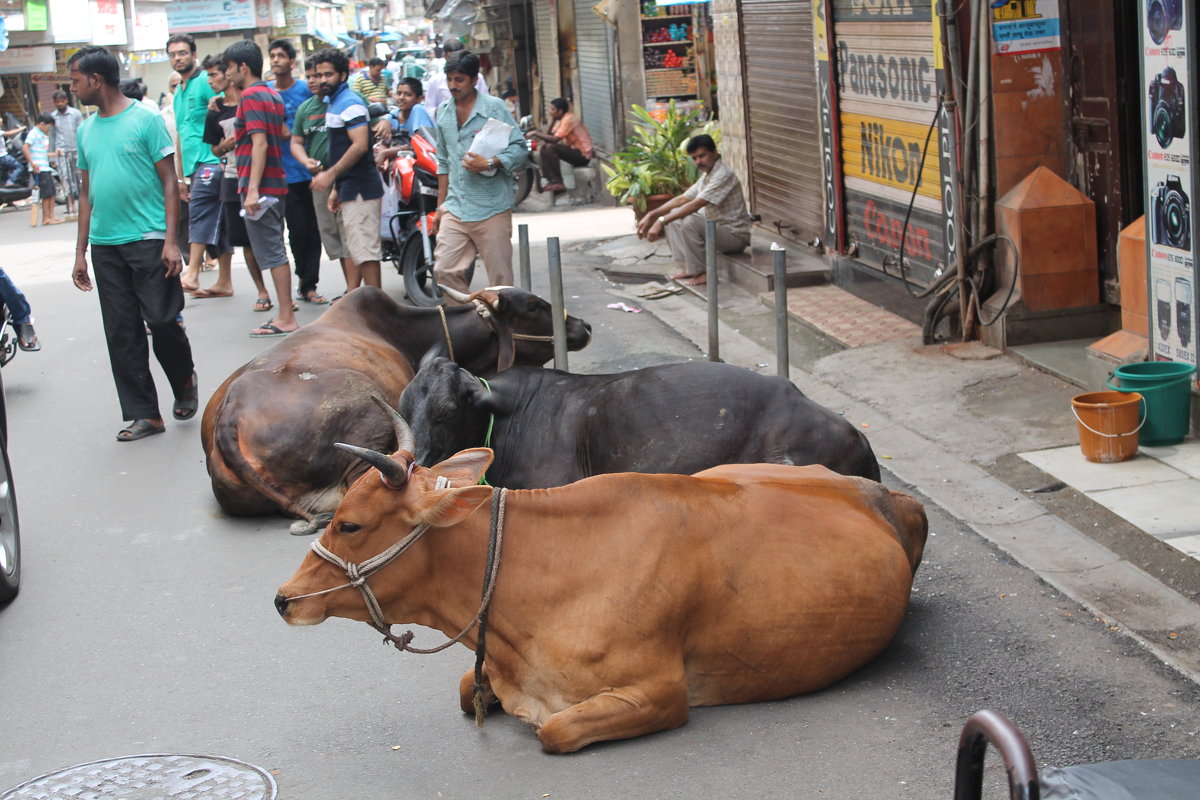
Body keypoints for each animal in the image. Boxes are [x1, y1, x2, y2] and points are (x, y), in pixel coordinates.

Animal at [274, 407, 926, 753]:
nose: (283, 600)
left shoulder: (660, 692)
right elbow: (467, 690)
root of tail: (870, 487)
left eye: (351, 524)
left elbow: (556, 729)